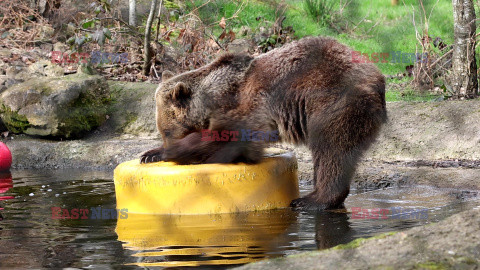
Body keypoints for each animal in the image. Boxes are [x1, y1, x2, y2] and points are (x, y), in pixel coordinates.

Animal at [142, 35, 386, 211]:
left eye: (166, 130)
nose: (166, 141)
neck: (211, 97)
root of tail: (377, 77)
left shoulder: (246, 107)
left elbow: (231, 138)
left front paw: (174, 152)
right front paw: (150, 154)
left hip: (332, 101)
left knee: (331, 151)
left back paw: (311, 200)